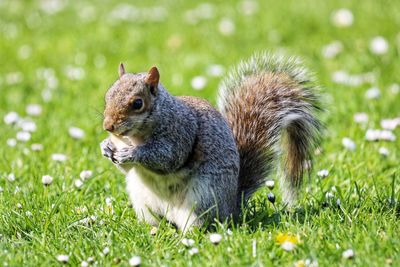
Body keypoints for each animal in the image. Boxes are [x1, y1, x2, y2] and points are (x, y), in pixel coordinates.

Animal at [100, 52, 322, 232]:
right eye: (107, 96)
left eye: (137, 103)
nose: (108, 126)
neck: (134, 137)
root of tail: (232, 209)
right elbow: (127, 168)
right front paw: (106, 147)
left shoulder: (181, 131)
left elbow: (168, 157)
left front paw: (132, 153)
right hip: (143, 201)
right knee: (158, 221)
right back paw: (153, 230)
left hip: (202, 200)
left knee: (199, 226)